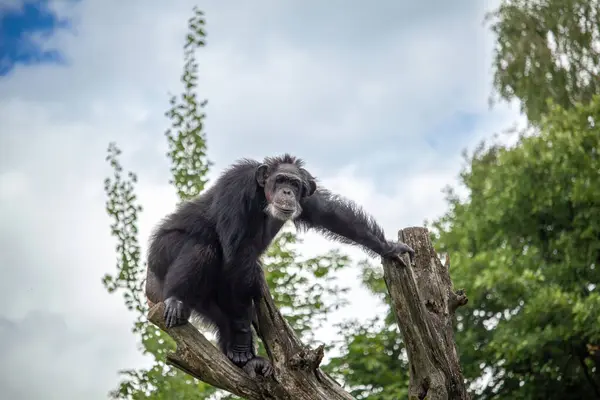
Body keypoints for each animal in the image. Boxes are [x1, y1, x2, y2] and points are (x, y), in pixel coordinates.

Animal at [146, 154, 418, 376]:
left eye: (295, 184)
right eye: (280, 180)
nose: (287, 192)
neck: (261, 194)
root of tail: (151, 286)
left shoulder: (307, 199)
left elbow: (331, 215)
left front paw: (388, 247)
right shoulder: (236, 185)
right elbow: (236, 253)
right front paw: (243, 339)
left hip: (206, 301)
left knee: (223, 314)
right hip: (160, 254)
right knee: (203, 249)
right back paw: (176, 300)